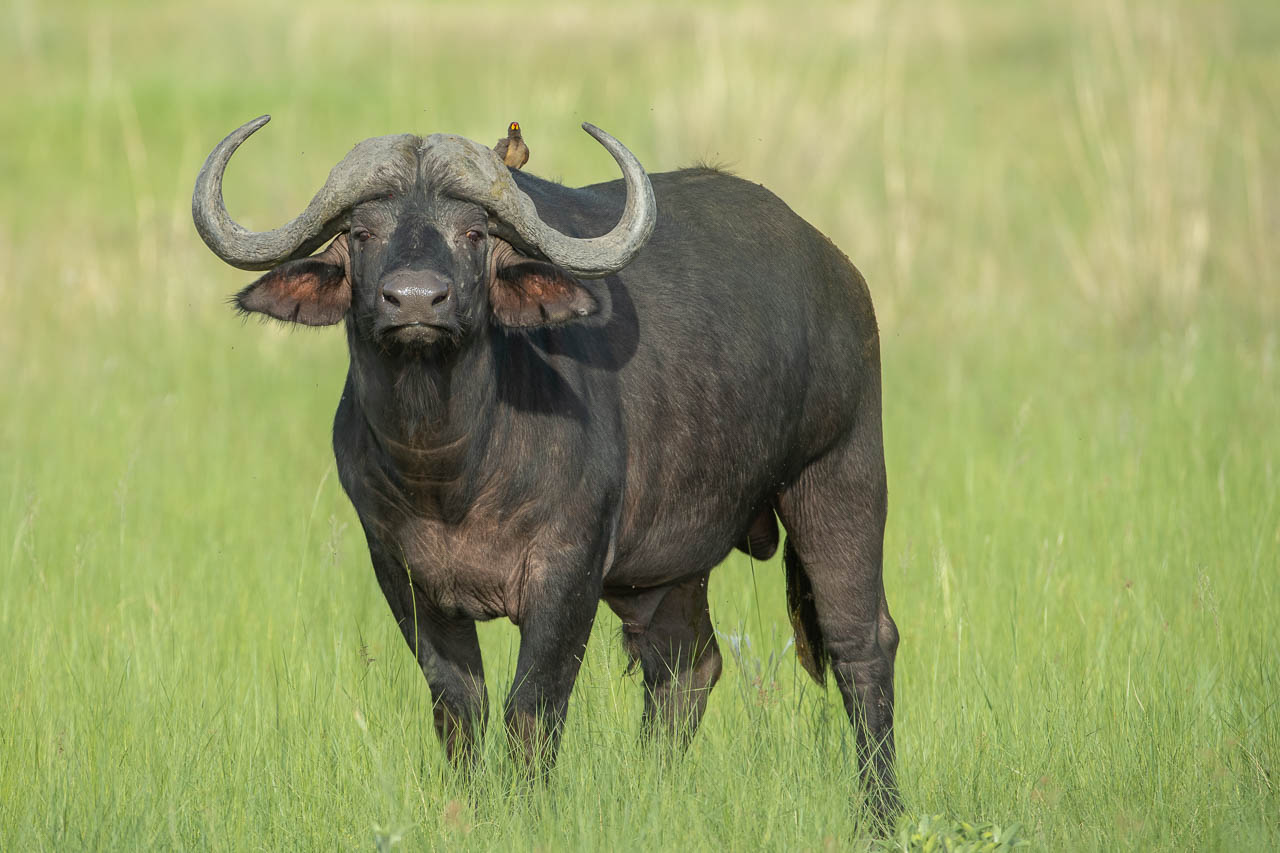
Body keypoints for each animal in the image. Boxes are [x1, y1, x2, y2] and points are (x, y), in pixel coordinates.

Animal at [193, 116, 901, 820]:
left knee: (862, 643)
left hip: (842, 475)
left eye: (473, 233)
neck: (450, 470)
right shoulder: (399, 571)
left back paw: (880, 812)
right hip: (669, 566)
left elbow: (532, 706)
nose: (416, 301)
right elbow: (459, 707)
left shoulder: (569, 568)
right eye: (363, 232)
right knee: (685, 666)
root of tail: (839, 272)